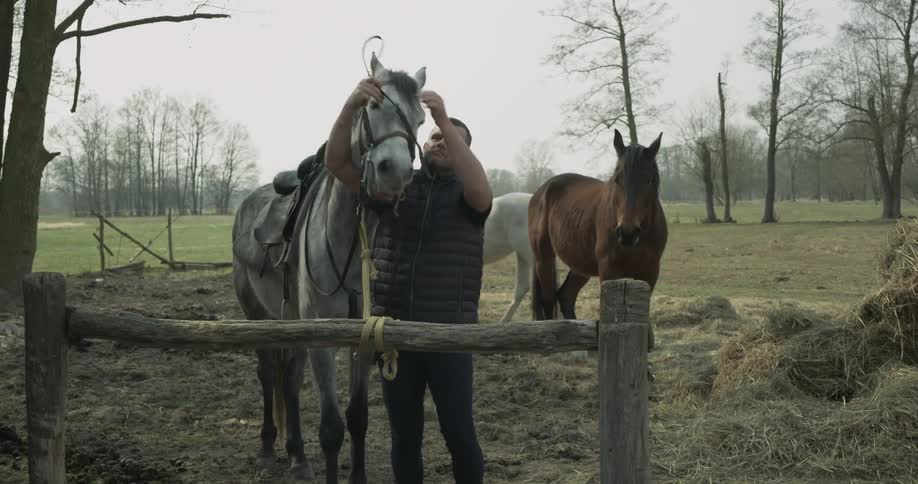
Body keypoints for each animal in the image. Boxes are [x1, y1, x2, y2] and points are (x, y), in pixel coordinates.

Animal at [231, 54, 426, 483]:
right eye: (373, 106)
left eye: (420, 119)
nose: (395, 171)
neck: (347, 242)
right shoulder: (322, 339)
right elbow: (332, 428)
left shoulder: (363, 338)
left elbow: (357, 417)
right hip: (258, 315)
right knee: (268, 374)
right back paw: (269, 447)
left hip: (292, 322)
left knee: (289, 378)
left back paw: (298, 455)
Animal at [528, 129, 667, 339]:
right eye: (617, 179)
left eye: (649, 180)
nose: (627, 233)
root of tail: (541, 191)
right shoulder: (609, 270)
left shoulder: (650, 272)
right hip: (543, 258)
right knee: (548, 300)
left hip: (581, 265)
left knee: (566, 296)